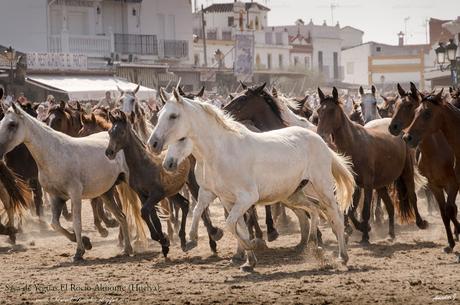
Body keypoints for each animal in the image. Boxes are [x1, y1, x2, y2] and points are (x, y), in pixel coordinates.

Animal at [0, 103, 140, 260]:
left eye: (12, 124)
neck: (54, 154)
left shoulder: (75, 195)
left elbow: (76, 222)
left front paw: (79, 251)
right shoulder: (56, 197)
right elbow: (55, 224)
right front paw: (85, 241)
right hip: (107, 192)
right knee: (122, 216)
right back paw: (127, 248)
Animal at [106, 108, 225, 254]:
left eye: (121, 132)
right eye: (109, 132)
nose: (109, 152)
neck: (143, 165)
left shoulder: (157, 194)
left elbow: (145, 212)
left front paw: (162, 238)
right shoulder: (143, 195)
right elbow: (151, 217)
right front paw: (164, 242)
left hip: (192, 184)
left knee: (201, 208)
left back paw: (213, 239)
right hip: (172, 191)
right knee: (185, 204)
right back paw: (184, 241)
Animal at [147, 89, 356, 270]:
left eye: (173, 116)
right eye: (159, 115)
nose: (153, 144)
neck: (218, 152)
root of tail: (319, 140)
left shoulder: (247, 198)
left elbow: (231, 224)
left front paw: (254, 245)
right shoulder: (219, 196)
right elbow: (207, 212)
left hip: (322, 187)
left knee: (336, 214)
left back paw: (342, 256)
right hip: (293, 194)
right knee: (313, 209)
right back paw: (313, 244)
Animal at [316, 86, 428, 243]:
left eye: (332, 110)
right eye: (319, 111)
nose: (321, 135)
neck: (354, 143)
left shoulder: (367, 185)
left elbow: (364, 210)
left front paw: (365, 234)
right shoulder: (356, 185)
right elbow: (350, 210)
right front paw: (361, 228)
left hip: (406, 172)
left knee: (412, 195)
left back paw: (420, 222)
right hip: (380, 184)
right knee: (390, 206)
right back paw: (391, 233)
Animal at [388, 82, 460, 251]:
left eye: (408, 106)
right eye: (396, 104)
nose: (392, 127)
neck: (435, 150)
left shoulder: (452, 183)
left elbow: (450, 209)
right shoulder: (434, 185)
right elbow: (445, 212)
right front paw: (450, 243)